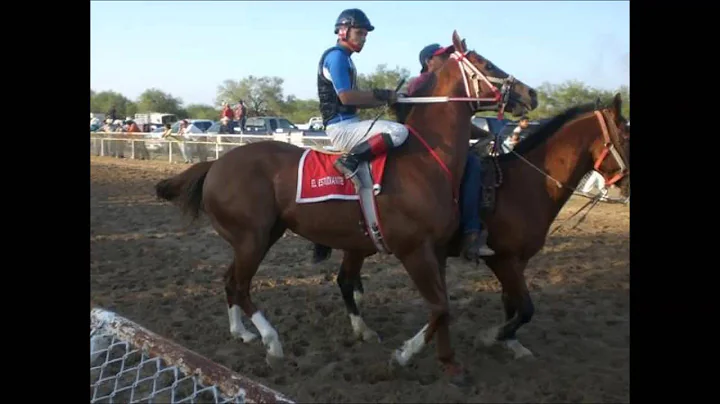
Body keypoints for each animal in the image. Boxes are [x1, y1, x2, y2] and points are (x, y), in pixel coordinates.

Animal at [155, 30, 536, 382]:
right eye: (486, 63)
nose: (530, 93)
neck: (425, 160)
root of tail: (216, 164)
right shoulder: (414, 250)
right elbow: (440, 307)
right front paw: (402, 356)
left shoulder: (436, 250)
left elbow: (442, 308)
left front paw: (449, 362)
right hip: (252, 239)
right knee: (241, 285)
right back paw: (272, 343)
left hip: (262, 235)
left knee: (230, 279)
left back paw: (243, 333)